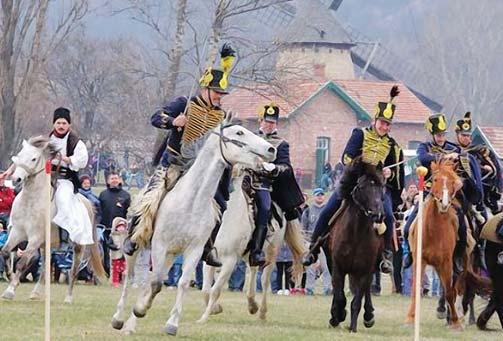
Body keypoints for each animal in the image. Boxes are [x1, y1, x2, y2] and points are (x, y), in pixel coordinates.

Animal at [0, 137, 105, 302]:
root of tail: (87, 202)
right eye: (20, 155)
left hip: (78, 246)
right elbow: (5, 252)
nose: (16, 179)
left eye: (34, 158)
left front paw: (10, 290)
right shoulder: (17, 233)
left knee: (74, 270)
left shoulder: (35, 238)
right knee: (44, 268)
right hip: (46, 245)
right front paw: (11, 278)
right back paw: (35, 293)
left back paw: (68, 298)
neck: (31, 202)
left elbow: (22, 262)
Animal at [112, 123, 278, 334]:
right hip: (137, 247)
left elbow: (181, 283)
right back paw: (118, 319)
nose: (271, 149)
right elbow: (156, 283)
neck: (191, 201)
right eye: (239, 132)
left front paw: (171, 323)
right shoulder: (159, 244)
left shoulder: (195, 250)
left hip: (172, 254)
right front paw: (141, 310)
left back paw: (131, 323)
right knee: (129, 277)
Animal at [198, 170, 308, 322]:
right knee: (253, 270)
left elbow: (215, 290)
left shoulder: (229, 261)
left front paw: (203, 318)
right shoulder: (210, 260)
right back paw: (252, 304)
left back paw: (261, 312)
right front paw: (215, 308)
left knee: (264, 280)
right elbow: (205, 290)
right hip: (250, 253)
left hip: (272, 252)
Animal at [324, 157, 384, 332]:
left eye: (381, 186)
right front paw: (337, 316)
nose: (378, 215)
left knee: (366, 291)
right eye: (362, 187)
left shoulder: (365, 271)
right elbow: (339, 296)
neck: (356, 233)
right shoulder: (338, 267)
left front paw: (353, 327)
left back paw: (369, 316)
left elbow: (356, 301)